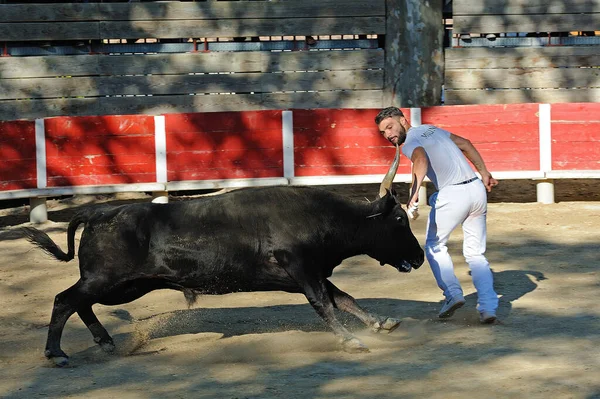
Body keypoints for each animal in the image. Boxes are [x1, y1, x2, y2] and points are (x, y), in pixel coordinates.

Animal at [22, 152, 422, 368]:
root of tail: (96, 213)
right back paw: (57, 353)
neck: (323, 218)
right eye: (399, 221)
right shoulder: (302, 270)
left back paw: (105, 342)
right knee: (65, 299)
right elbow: (325, 304)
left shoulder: (308, 274)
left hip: (125, 286)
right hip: (107, 279)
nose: (419, 257)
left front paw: (381, 322)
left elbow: (344, 298)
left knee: (81, 303)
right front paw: (351, 340)